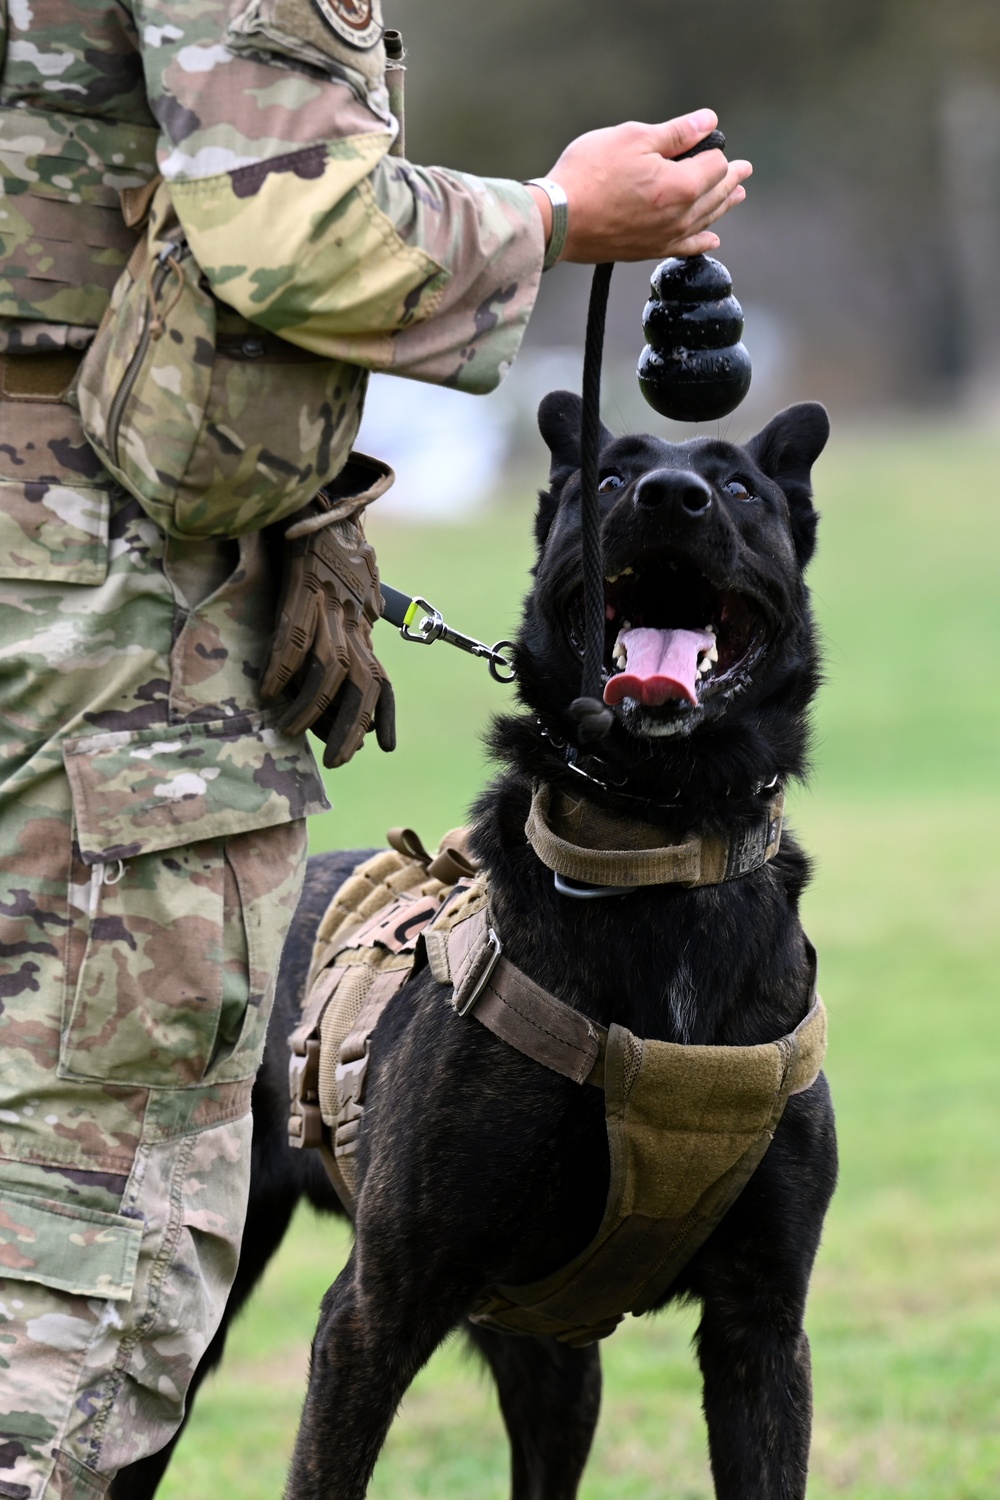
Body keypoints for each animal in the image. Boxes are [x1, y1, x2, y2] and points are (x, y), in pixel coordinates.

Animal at [113, 390, 839, 1500]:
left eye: (742, 489)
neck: (655, 846)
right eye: (610, 479)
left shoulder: (760, 1331)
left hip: (547, 1360)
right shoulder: (373, 1314)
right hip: (193, 1321)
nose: (672, 496)